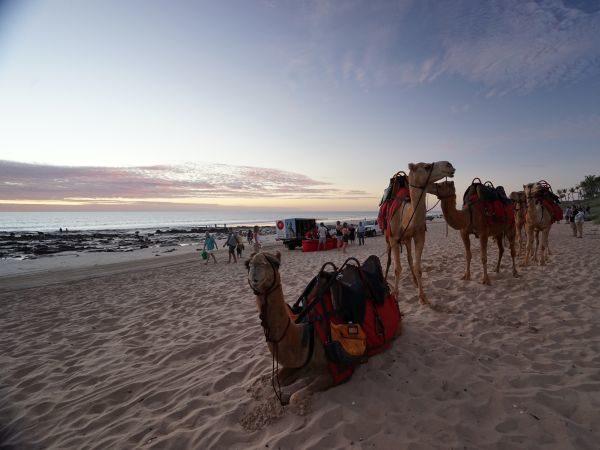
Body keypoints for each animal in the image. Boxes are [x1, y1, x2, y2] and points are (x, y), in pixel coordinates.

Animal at [247, 251, 336, 406]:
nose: (256, 266)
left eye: (276, 263)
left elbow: (295, 397)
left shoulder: (332, 372)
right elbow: (274, 381)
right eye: (248, 264)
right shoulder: (301, 362)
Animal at [384, 160, 454, 304]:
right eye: (427, 166)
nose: (449, 165)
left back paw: (415, 282)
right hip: (387, 236)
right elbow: (397, 268)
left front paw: (422, 297)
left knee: (410, 258)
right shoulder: (394, 239)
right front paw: (395, 294)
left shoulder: (419, 236)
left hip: (407, 239)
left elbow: (418, 267)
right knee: (389, 259)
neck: (404, 216)